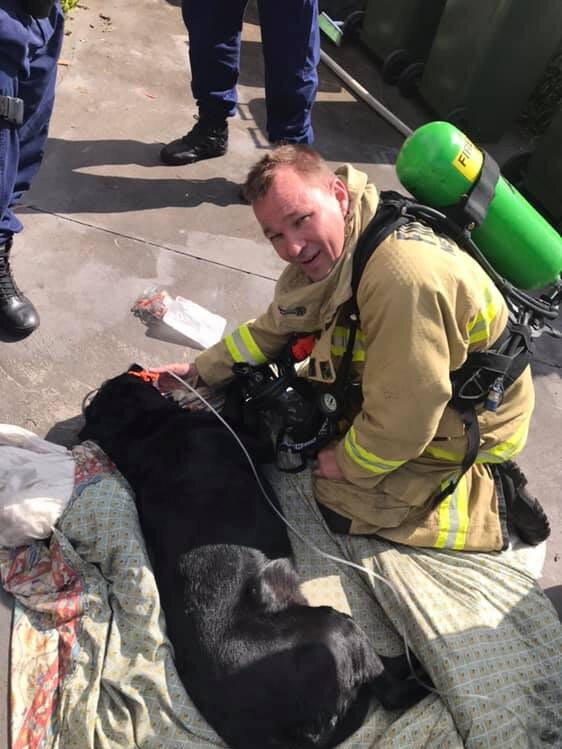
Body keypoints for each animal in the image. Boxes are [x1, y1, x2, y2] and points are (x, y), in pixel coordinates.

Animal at [79, 366, 426, 744]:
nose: (133, 367)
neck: (142, 433)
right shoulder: (254, 443)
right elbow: (248, 416)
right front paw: (246, 384)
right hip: (335, 626)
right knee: (390, 689)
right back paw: (423, 673)